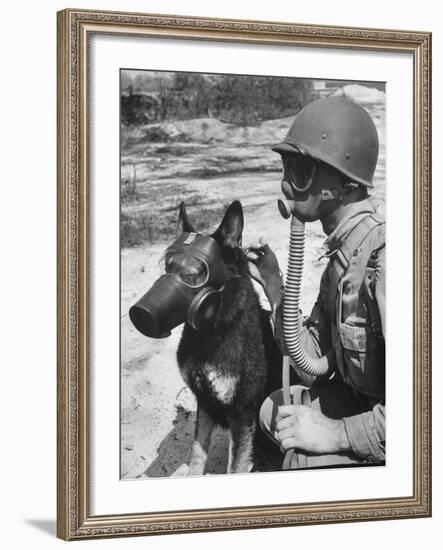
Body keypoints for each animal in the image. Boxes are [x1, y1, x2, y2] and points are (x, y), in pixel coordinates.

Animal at [174, 201, 280, 476]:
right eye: (169, 266)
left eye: (197, 271)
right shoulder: (204, 403)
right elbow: (197, 454)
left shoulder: (243, 413)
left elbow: (236, 464)